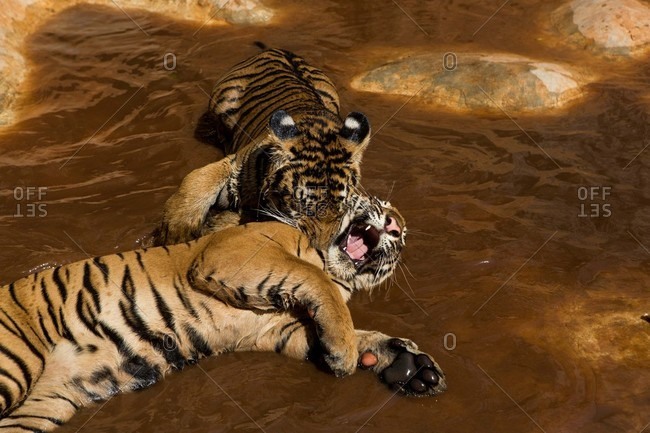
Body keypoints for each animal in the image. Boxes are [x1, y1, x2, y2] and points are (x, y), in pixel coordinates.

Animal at [0, 195, 446, 432]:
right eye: (381, 204)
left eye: (401, 235)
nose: (394, 225)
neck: (340, 275)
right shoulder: (234, 252)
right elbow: (313, 279)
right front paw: (347, 356)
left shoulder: (275, 328)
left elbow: (344, 328)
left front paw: (409, 366)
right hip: (14, 363)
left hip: (38, 407)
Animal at [152, 46, 374, 246]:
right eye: (302, 203)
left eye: (341, 206)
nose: (321, 247)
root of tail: (279, 50)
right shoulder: (235, 161)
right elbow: (200, 178)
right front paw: (175, 233)